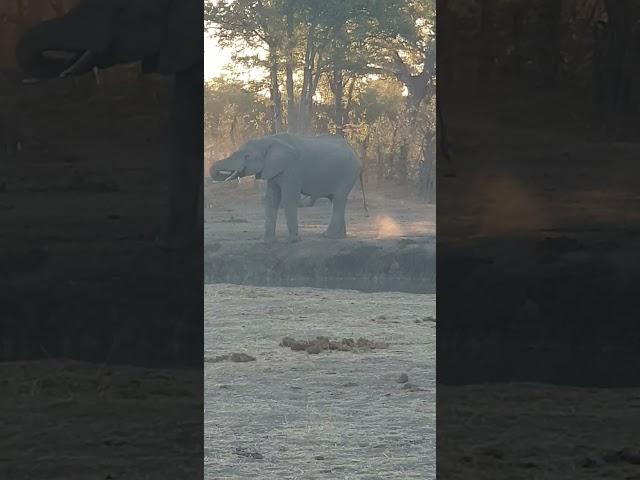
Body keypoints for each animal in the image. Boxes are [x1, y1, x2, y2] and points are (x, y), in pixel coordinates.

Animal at [211, 132, 368, 242]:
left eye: (247, 156)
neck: (268, 140)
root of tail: (355, 152)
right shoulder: (273, 169)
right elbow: (271, 199)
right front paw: (268, 242)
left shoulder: (292, 169)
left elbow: (288, 198)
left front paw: (290, 241)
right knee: (335, 200)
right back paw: (337, 236)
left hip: (349, 172)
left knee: (339, 199)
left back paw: (329, 236)